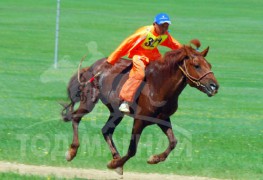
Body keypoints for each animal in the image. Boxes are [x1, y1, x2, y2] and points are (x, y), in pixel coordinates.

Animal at [60, 40, 220, 174]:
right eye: (197, 65)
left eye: (209, 65)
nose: (215, 86)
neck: (158, 85)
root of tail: (93, 67)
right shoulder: (139, 120)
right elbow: (132, 149)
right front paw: (115, 164)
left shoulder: (162, 118)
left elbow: (173, 142)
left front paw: (154, 158)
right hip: (89, 102)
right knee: (76, 118)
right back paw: (72, 151)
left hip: (116, 112)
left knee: (106, 130)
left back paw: (116, 157)